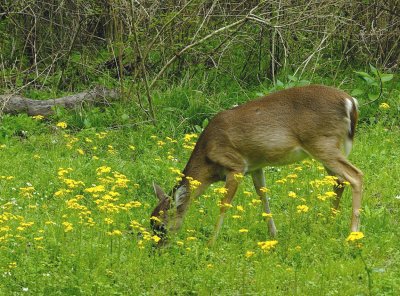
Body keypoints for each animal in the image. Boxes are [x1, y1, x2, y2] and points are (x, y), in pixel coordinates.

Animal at [149, 84, 362, 245]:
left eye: (161, 226)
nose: (156, 249)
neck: (207, 159)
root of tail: (351, 102)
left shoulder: (236, 165)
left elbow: (224, 205)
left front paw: (211, 242)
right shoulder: (256, 167)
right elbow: (263, 197)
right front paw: (273, 235)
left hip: (322, 143)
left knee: (356, 176)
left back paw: (352, 233)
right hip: (329, 147)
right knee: (339, 182)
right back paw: (328, 223)